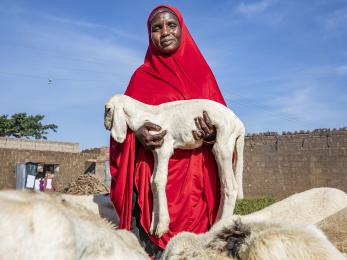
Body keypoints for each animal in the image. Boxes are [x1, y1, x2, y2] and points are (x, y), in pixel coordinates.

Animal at [104, 94, 246, 238]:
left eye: (108, 109)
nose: (106, 125)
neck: (145, 114)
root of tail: (239, 125)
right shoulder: (155, 149)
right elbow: (153, 182)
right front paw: (154, 225)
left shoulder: (164, 148)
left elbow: (159, 180)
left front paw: (162, 226)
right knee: (223, 186)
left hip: (224, 144)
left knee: (231, 187)